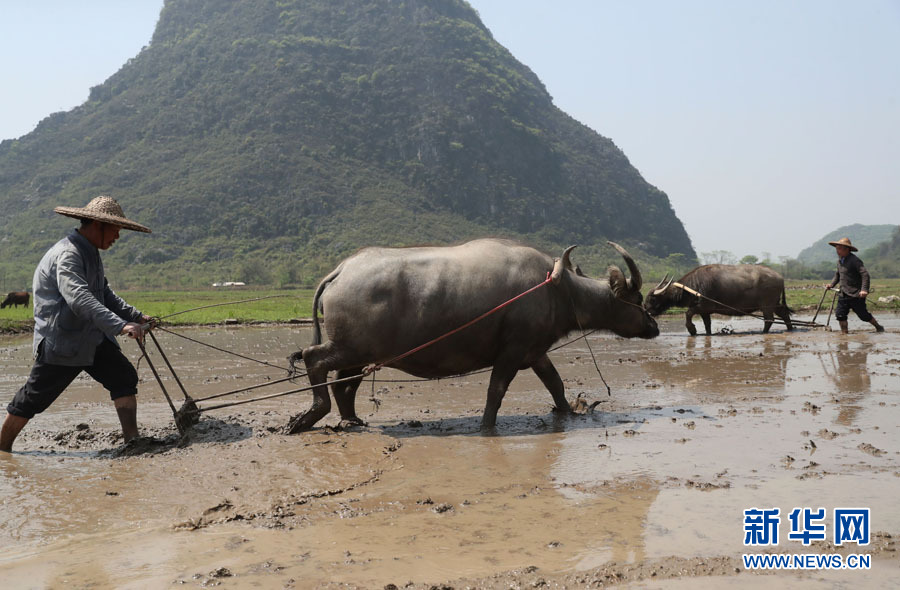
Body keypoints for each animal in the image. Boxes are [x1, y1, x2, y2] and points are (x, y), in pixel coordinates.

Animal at [290, 238, 660, 432]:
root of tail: (341, 271)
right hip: (349, 347)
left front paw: (566, 412)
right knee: (315, 360)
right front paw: (486, 426)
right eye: (637, 298)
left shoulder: (535, 352)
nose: (654, 326)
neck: (557, 288)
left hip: (363, 352)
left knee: (343, 383)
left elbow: (555, 383)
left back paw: (351, 419)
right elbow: (496, 391)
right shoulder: (511, 352)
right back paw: (308, 416)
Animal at [644, 264, 792, 336]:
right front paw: (707, 334)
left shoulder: (703, 307)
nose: (646, 310)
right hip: (774, 304)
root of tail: (780, 277)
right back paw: (790, 329)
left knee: (769, 319)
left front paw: (692, 330)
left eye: (652, 298)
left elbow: (688, 313)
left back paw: (764, 332)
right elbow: (707, 324)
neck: (693, 287)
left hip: (767, 305)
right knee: (784, 314)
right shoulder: (705, 312)